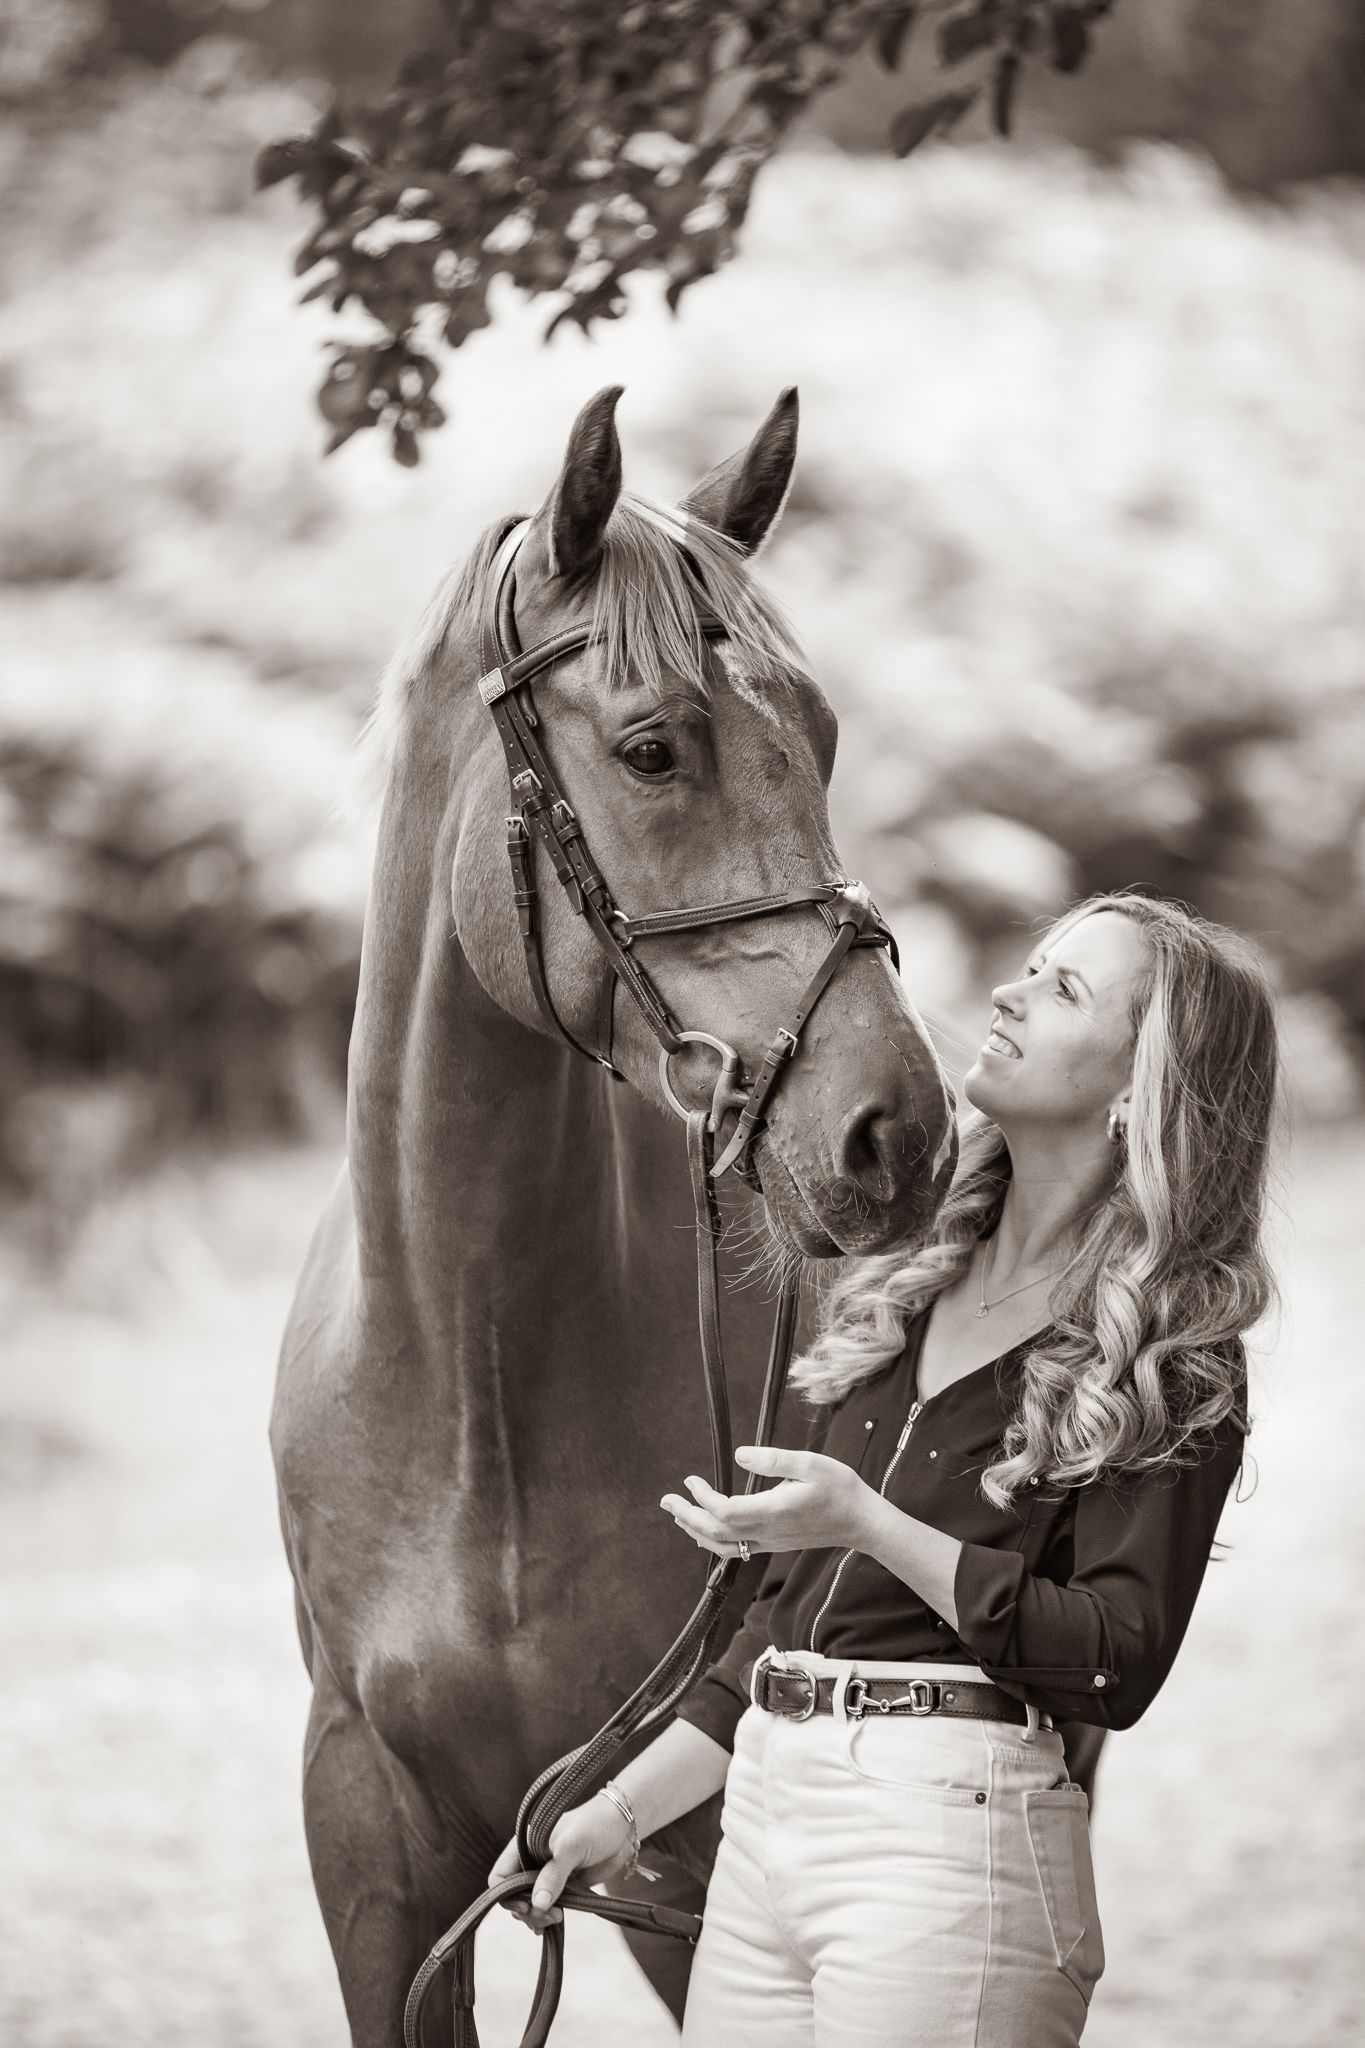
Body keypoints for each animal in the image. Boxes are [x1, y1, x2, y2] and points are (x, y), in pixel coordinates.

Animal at [271, 385, 961, 2045]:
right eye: (652, 750)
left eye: (823, 738)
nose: (896, 1134)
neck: (474, 1381)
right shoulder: (377, 1849)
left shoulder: (684, 1851)